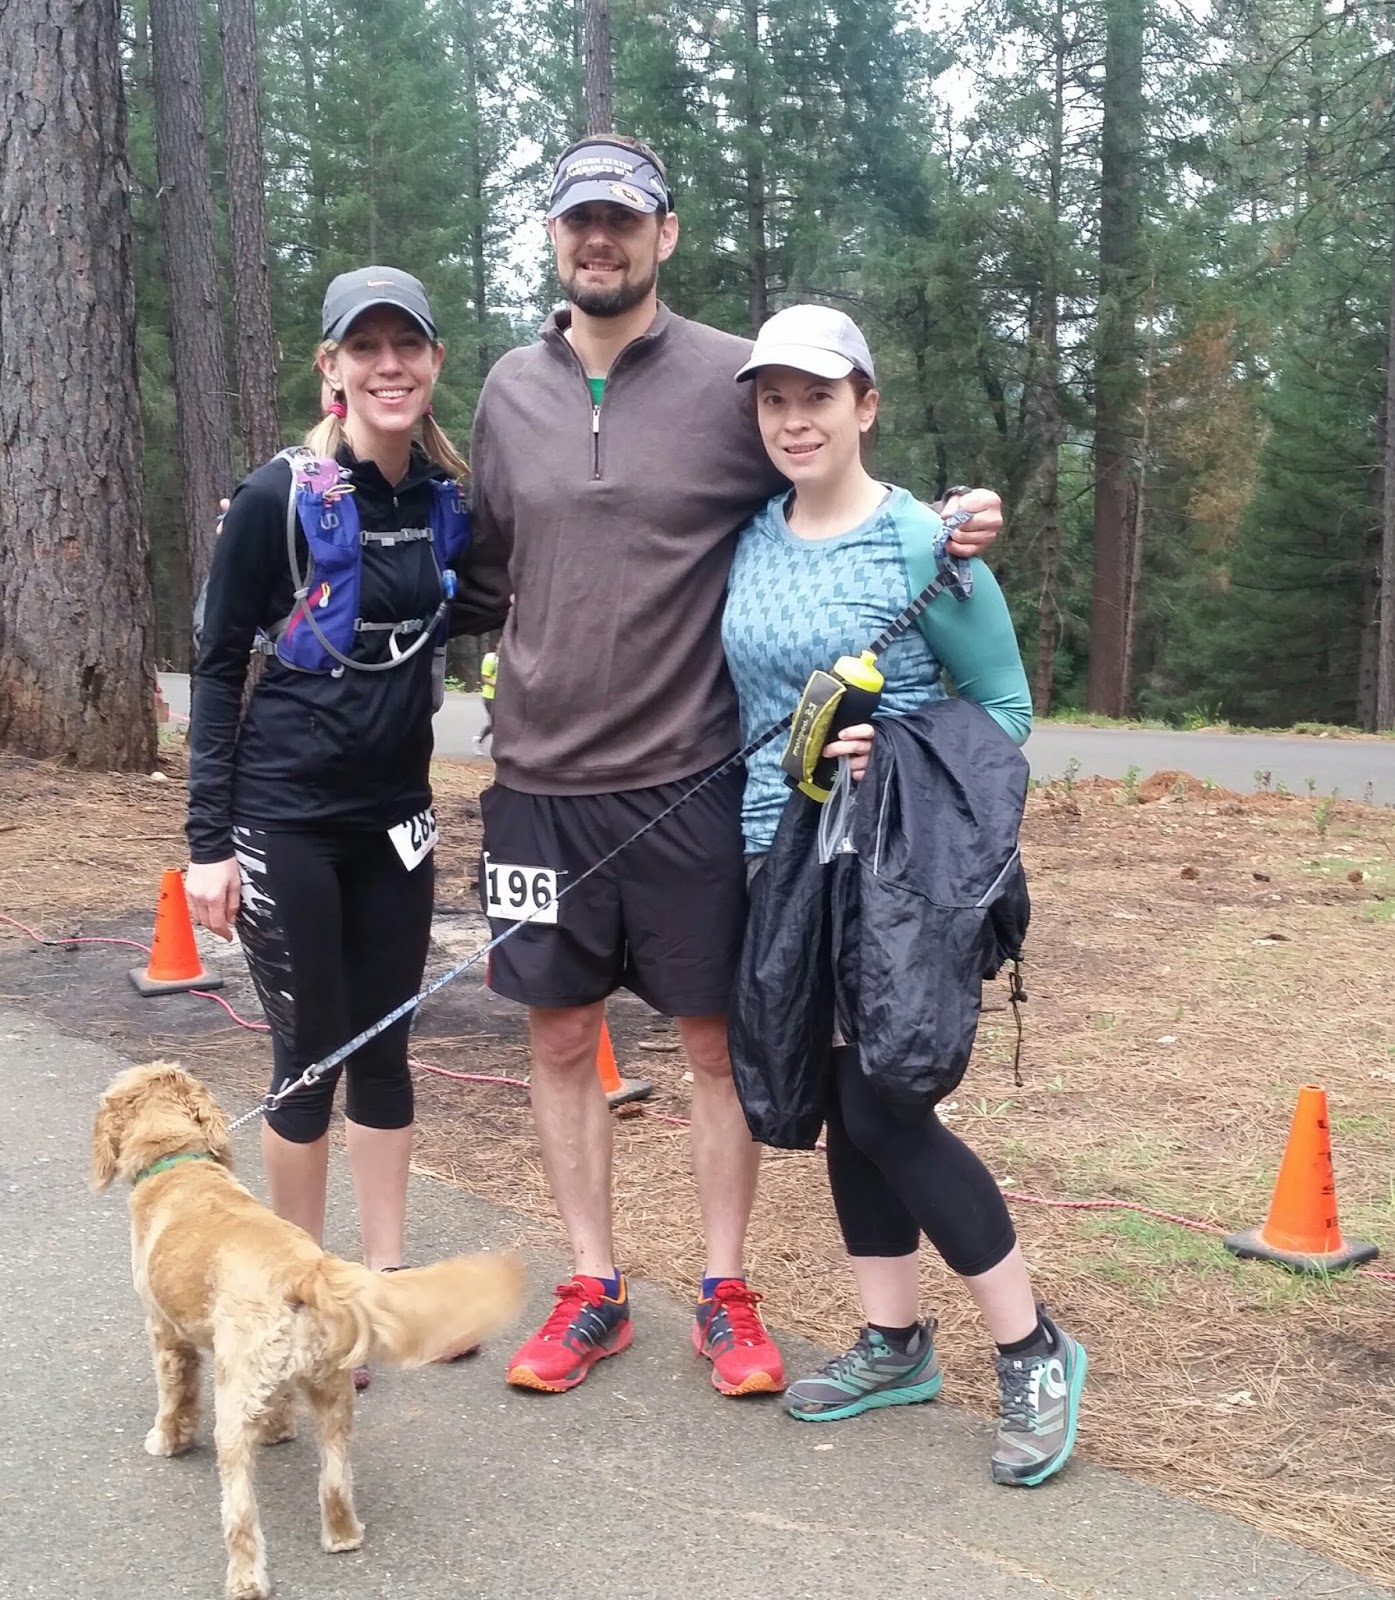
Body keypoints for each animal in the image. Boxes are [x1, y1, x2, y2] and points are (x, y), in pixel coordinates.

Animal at [91, 1061, 524, 1600]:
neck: (178, 1162)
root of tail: (303, 1270)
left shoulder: (166, 1334)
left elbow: (175, 1398)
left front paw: (166, 1441)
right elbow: (279, 1402)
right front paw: (278, 1431)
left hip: (234, 1413)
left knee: (240, 1513)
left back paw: (246, 1580)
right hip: (334, 1393)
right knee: (335, 1478)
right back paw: (343, 1535)